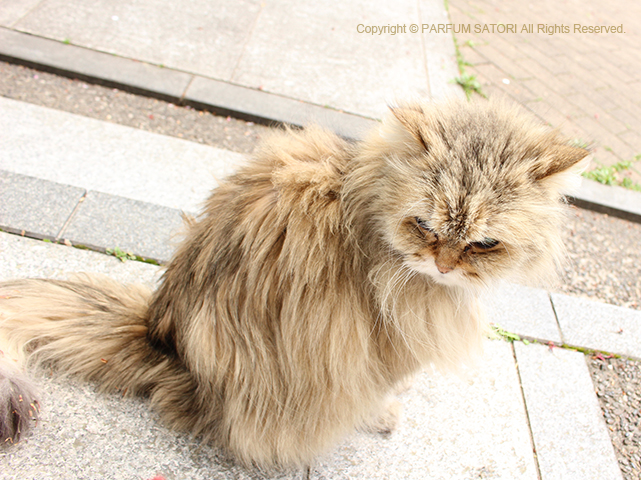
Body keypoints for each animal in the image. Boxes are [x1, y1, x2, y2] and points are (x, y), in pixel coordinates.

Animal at [0, 99, 588, 466]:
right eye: (424, 224)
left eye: (484, 243)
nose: (442, 266)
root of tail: (163, 340)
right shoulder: (385, 342)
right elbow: (382, 388)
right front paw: (385, 414)